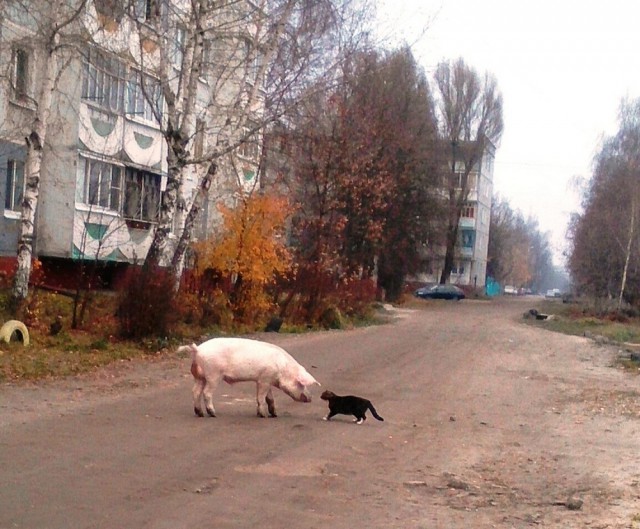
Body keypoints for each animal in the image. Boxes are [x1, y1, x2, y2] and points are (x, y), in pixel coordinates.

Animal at [178, 336, 320, 418]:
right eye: (301, 384)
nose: (310, 398)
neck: (282, 369)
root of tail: (198, 350)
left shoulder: (266, 379)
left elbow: (269, 398)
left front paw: (274, 414)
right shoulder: (264, 379)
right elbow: (261, 397)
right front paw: (263, 415)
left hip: (199, 377)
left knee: (195, 392)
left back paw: (200, 413)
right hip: (213, 375)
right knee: (206, 393)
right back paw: (212, 414)